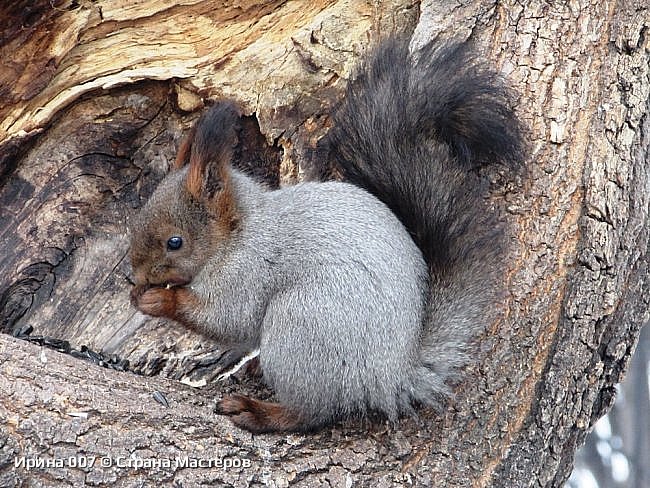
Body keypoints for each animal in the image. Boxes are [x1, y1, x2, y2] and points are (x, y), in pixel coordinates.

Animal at [129, 39, 524, 434]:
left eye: (175, 242)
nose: (134, 277)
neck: (237, 233)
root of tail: (389, 376)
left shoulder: (248, 273)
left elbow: (227, 318)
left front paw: (158, 300)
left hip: (301, 324)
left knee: (310, 411)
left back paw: (258, 411)